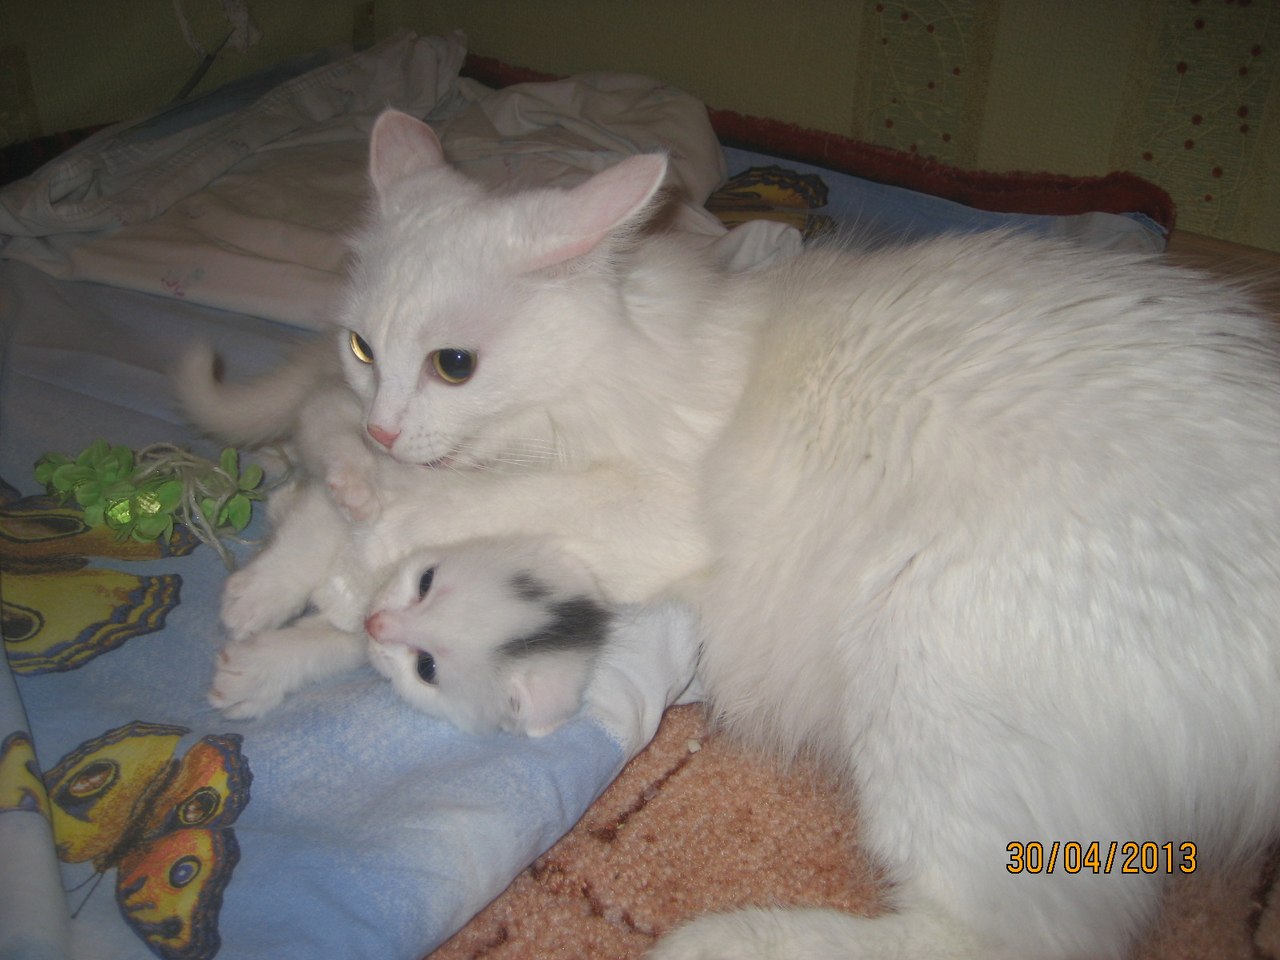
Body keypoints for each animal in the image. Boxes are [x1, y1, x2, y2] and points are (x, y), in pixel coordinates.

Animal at [193, 109, 1280, 959]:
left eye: (453, 364)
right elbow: (362, 542)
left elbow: (421, 516)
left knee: (1009, 936)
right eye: (362, 347)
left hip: (929, 656)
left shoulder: (635, 514)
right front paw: (266, 613)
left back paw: (716, 941)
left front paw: (332, 555)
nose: (381, 422)